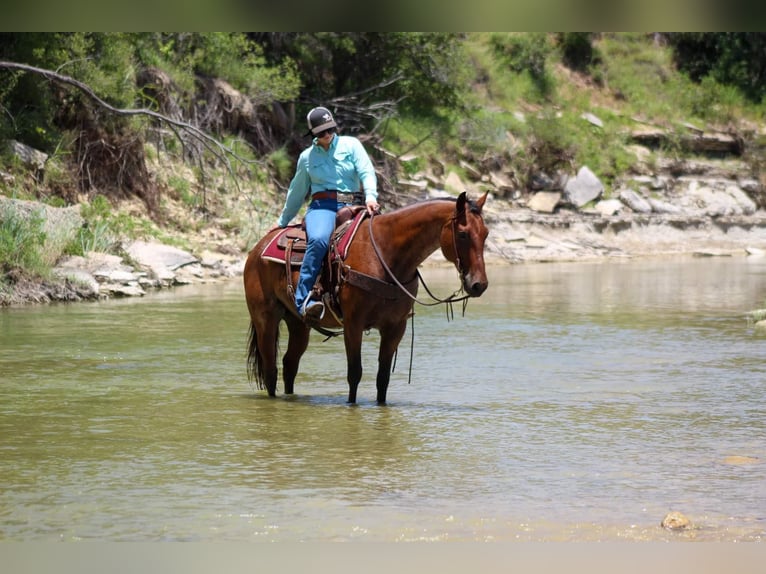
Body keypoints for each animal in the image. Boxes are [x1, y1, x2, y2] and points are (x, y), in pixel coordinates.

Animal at [243, 190, 489, 404]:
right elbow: (355, 373)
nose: (479, 284)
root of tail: (256, 249)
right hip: (266, 318)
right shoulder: (354, 324)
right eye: (463, 234)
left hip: (298, 324)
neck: (385, 253)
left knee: (289, 364)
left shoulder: (395, 328)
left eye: (485, 234)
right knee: (270, 369)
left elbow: (383, 378)